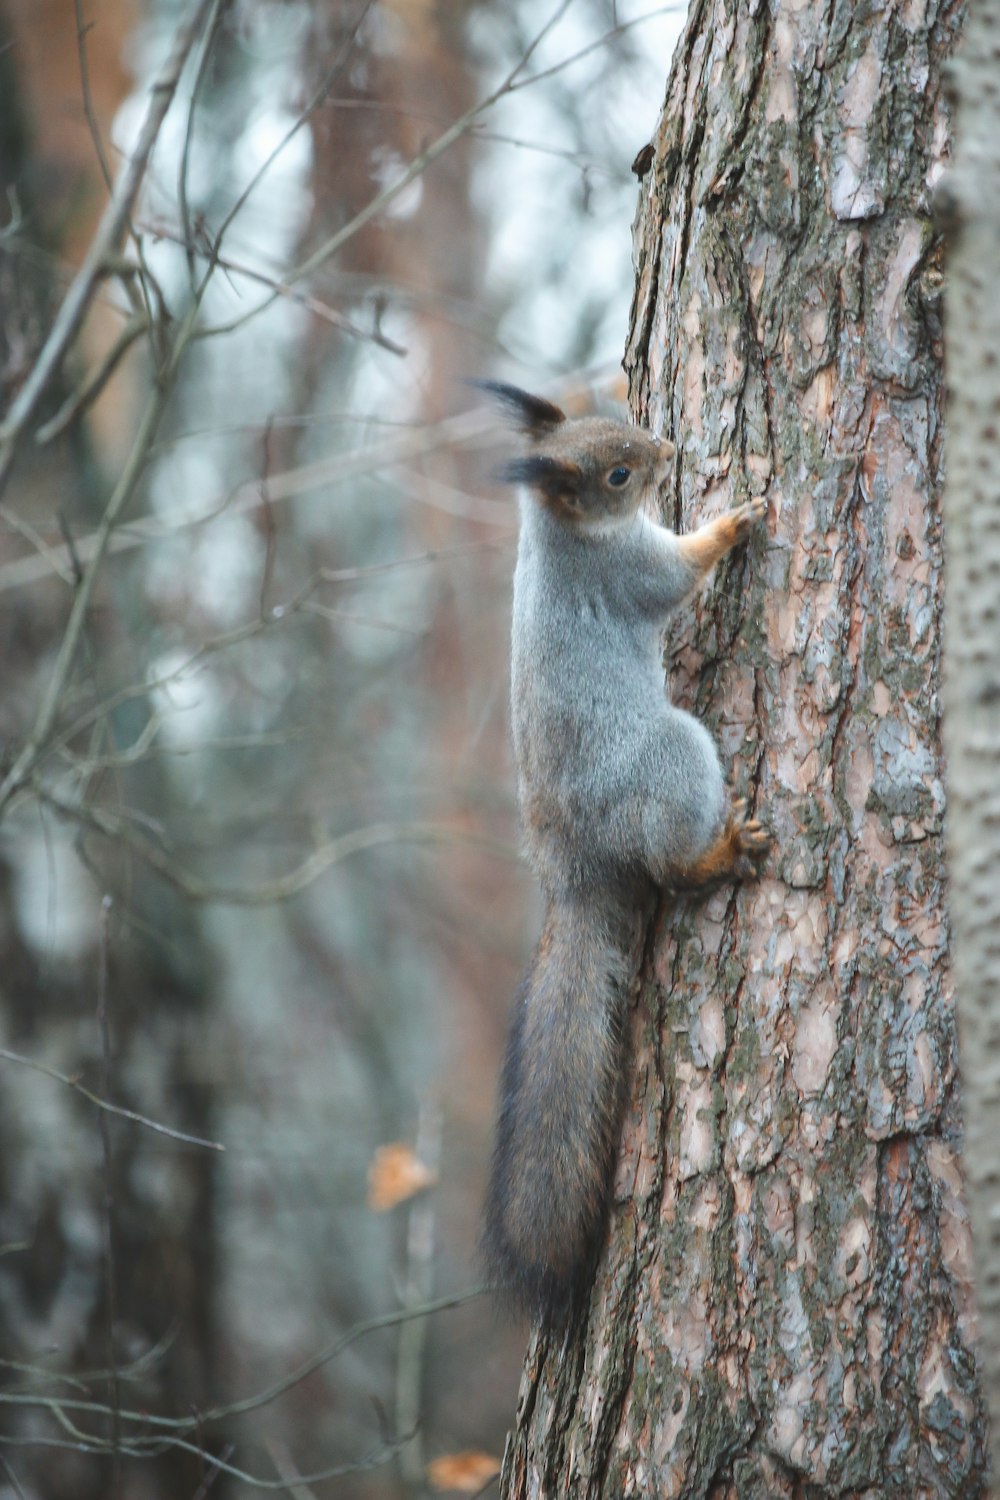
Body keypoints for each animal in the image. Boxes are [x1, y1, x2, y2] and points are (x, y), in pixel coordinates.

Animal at [479, 381, 773, 1320]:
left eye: (615, 420)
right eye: (616, 475)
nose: (668, 449)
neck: (560, 534)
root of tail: (572, 874)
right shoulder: (633, 573)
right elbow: (679, 572)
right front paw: (734, 521)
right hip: (671, 758)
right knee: (671, 867)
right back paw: (719, 853)